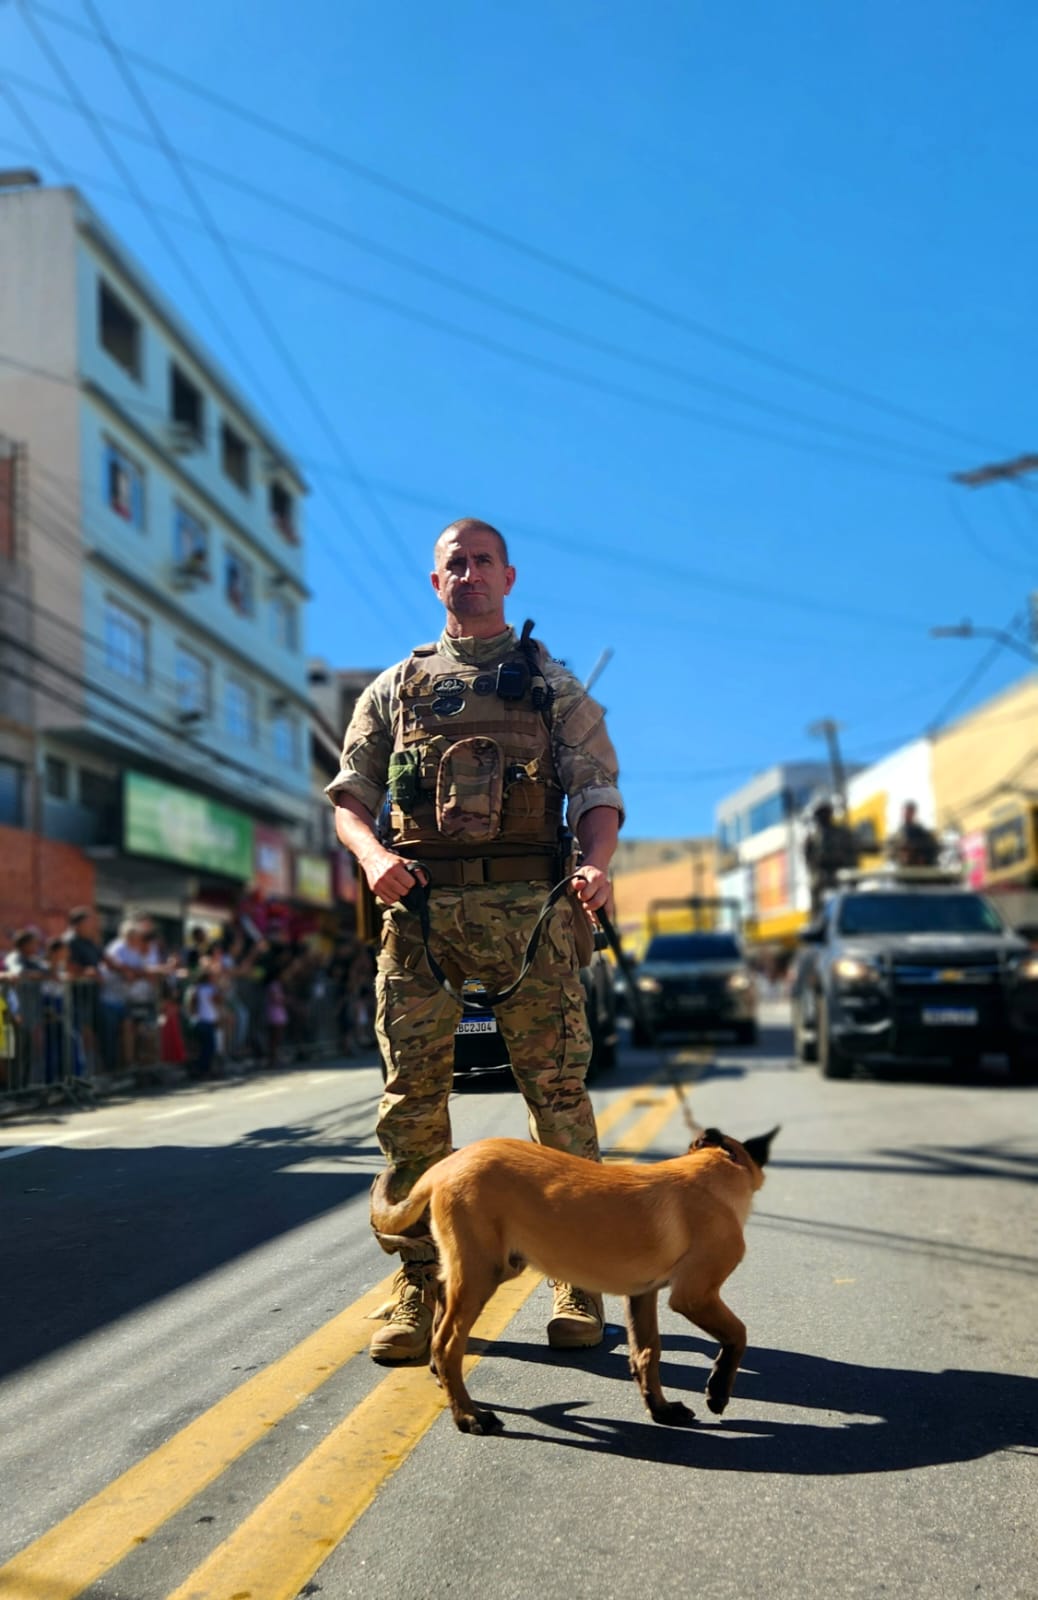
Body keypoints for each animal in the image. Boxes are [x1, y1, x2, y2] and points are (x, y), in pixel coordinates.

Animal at [367, 1126, 774, 1440]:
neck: (713, 1168)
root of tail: (442, 1167)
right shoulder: (695, 1295)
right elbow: (738, 1334)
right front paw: (717, 1392)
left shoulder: (642, 1295)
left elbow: (647, 1352)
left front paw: (660, 1410)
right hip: (482, 1272)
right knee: (447, 1343)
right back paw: (469, 1416)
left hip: (483, 1268)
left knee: (439, 1301)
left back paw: (444, 1381)